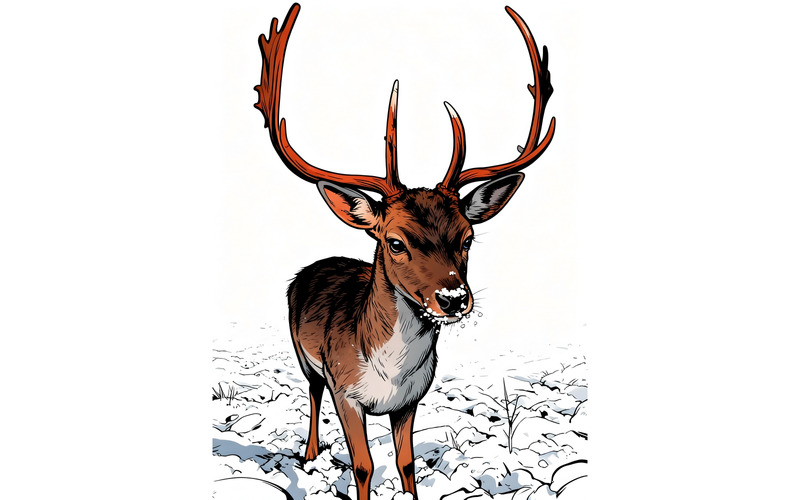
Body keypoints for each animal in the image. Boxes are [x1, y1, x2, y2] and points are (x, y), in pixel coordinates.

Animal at [254, 4, 555, 499]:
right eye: (395, 242)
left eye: (467, 238)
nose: (453, 298)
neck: (388, 376)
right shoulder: (346, 391)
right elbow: (362, 466)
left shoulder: (412, 400)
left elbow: (407, 462)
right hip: (304, 355)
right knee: (312, 392)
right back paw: (311, 453)